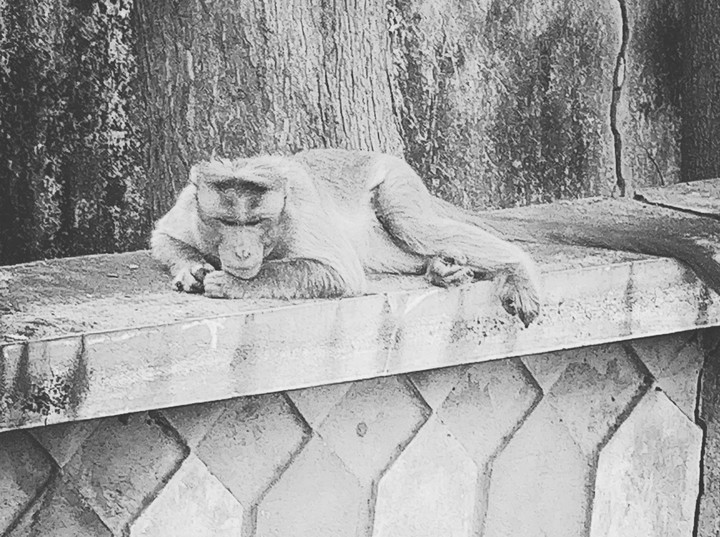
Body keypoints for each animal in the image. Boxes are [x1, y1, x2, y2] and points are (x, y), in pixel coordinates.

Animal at [151, 149, 542, 326]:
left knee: (413, 225)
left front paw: (232, 283)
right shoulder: (190, 204)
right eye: (227, 222)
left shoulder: (301, 212)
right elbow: (162, 236)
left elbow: (342, 272)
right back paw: (439, 268)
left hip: (396, 180)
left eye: (256, 222)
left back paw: (516, 267)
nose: (243, 252)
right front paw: (190, 269)